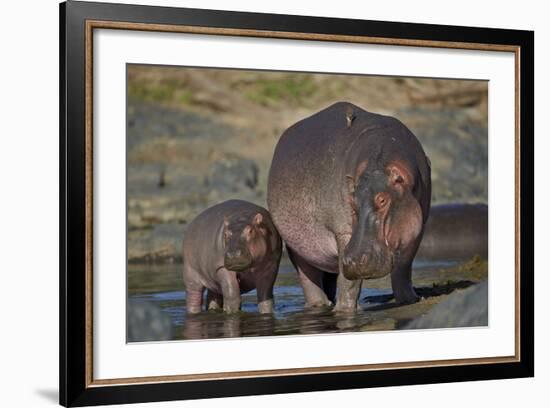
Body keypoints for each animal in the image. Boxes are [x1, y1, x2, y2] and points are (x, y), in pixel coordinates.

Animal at [270, 102, 434, 312]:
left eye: (382, 200)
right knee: (309, 278)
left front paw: (410, 299)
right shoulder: (343, 232)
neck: (379, 160)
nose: (353, 260)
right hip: (297, 246)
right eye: (352, 200)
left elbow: (404, 267)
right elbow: (349, 282)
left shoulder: (416, 229)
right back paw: (320, 305)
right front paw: (344, 311)